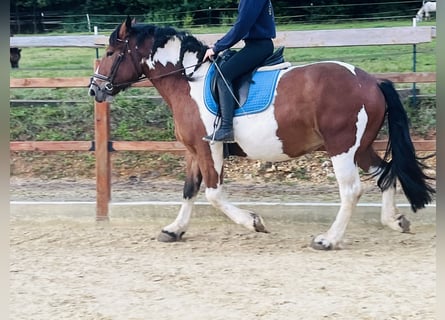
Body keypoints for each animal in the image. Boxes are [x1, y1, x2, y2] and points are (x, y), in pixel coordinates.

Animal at [87, 17, 434, 250]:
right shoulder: (194, 150)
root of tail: (371, 81)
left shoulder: (209, 148)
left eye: (110, 52)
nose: (94, 89)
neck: (188, 80)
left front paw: (253, 222)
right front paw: (174, 230)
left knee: (351, 191)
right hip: (359, 147)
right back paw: (395, 221)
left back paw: (328, 239)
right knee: (385, 173)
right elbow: (189, 189)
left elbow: (213, 194)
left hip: (342, 147)